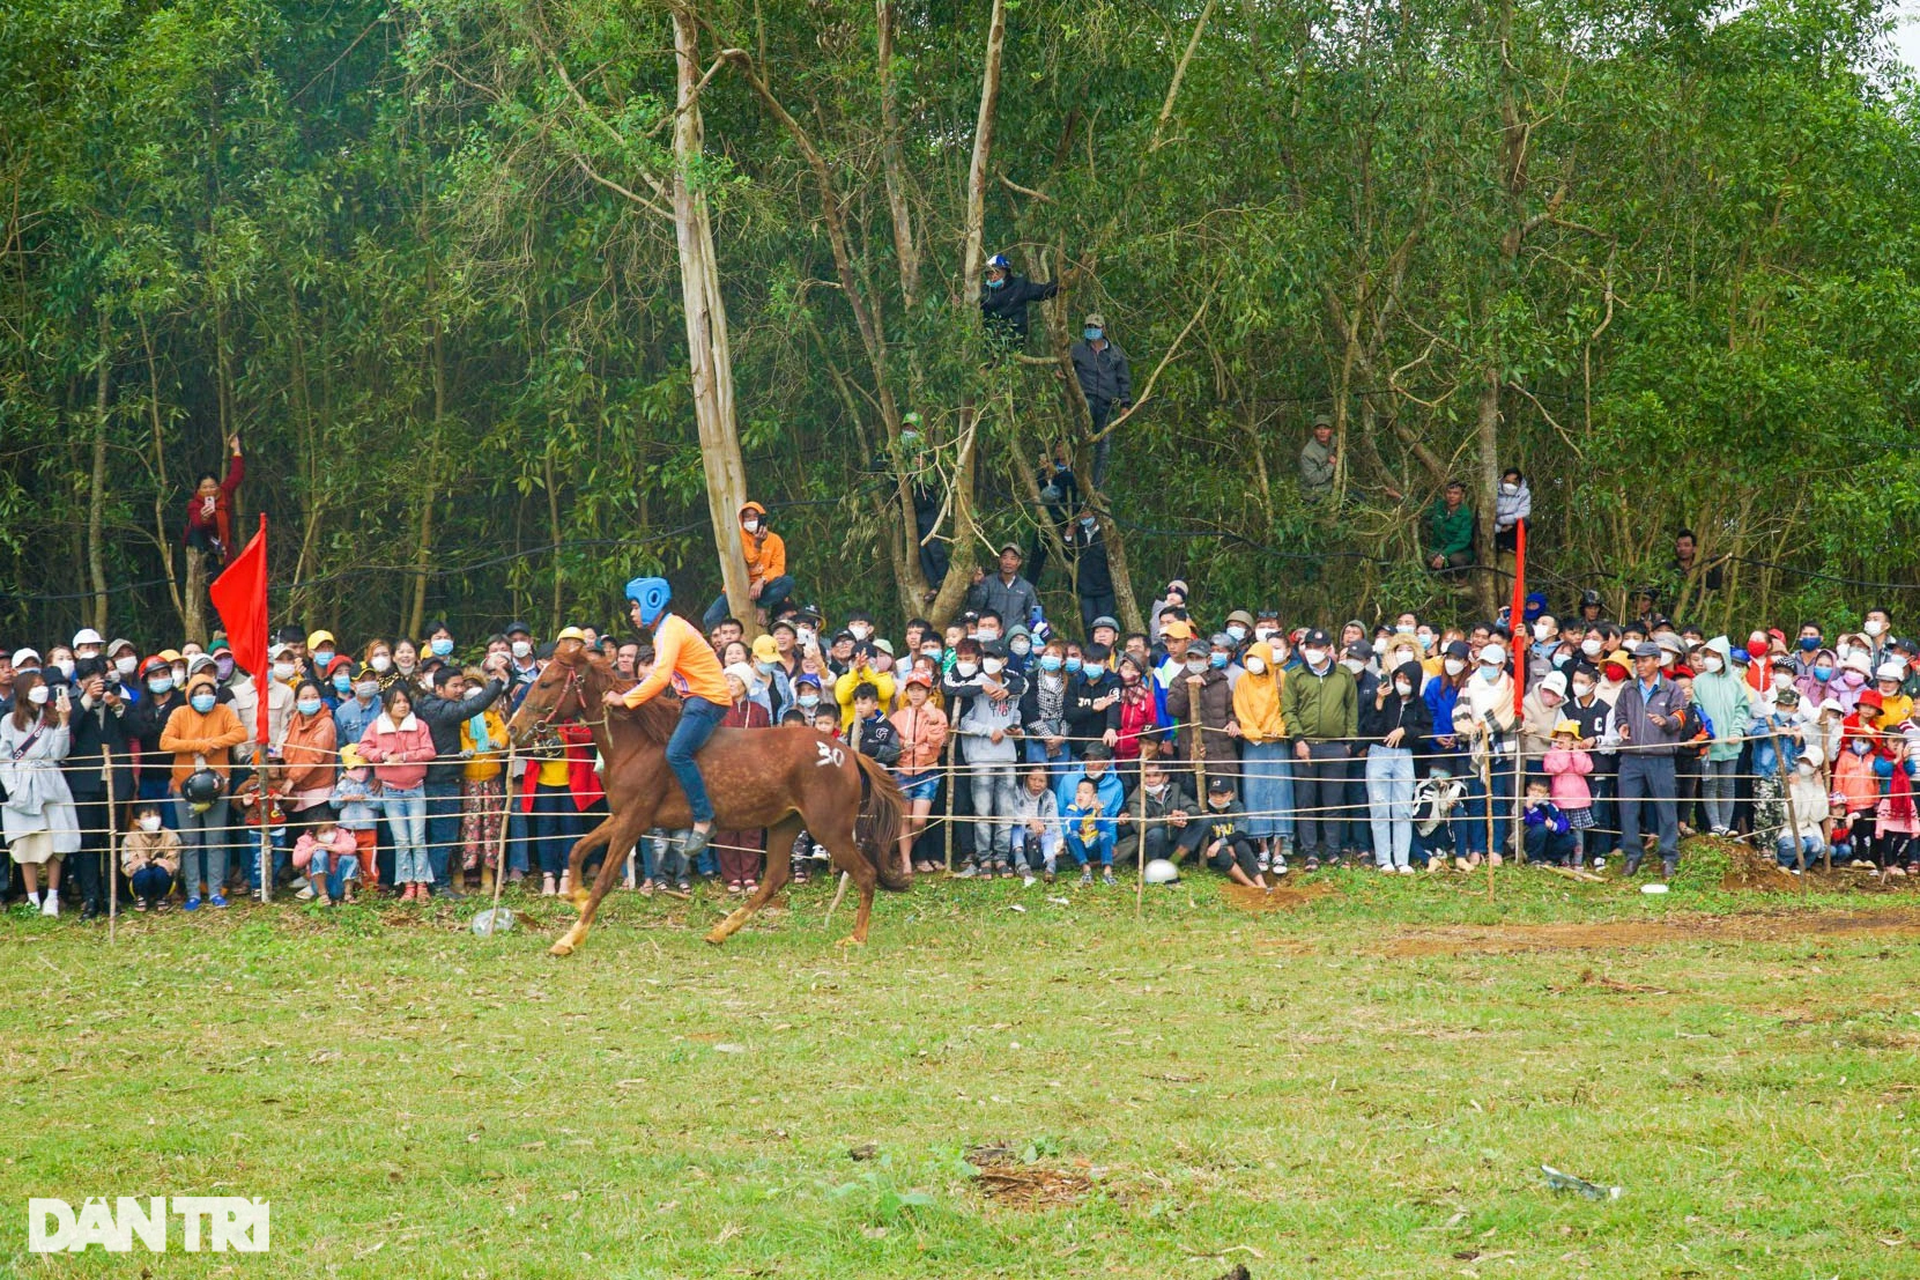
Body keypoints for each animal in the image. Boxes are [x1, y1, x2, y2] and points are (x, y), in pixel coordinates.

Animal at [503, 637, 906, 955]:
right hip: (785, 824)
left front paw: (569, 938)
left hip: (829, 828)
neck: (638, 742)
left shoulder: (634, 820)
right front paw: (575, 896)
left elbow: (603, 878)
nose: (513, 728)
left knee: (865, 874)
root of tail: (845, 752)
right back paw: (720, 931)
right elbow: (576, 849)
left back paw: (856, 937)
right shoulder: (623, 817)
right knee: (773, 880)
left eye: (547, 683)